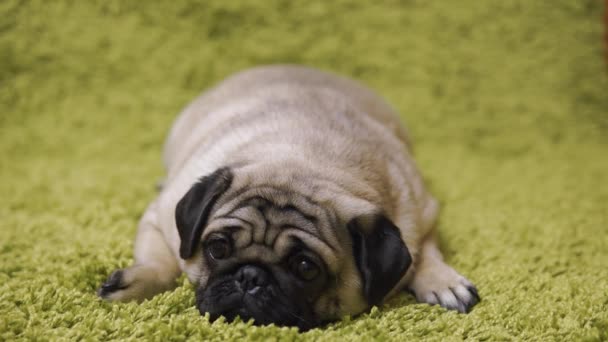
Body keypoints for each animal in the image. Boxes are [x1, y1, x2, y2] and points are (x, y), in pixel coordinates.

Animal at [98, 65, 480, 332]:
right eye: (217, 248)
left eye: (305, 268)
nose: (250, 276)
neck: (307, 159)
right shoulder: (160, 217)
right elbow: (163, 262)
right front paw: (136, 283)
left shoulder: (422, 212)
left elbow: (425, 252)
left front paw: (441, 280)